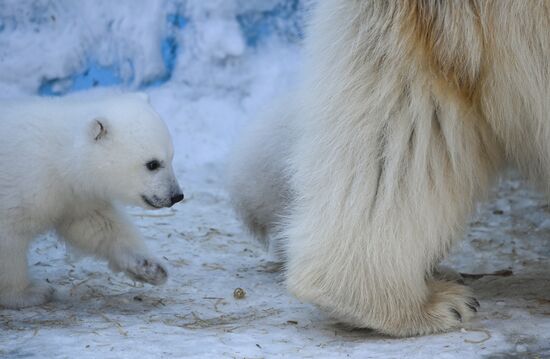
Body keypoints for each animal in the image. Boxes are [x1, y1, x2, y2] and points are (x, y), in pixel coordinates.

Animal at [0, 93, 185, 310]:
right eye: (152, 164)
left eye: (171, 157)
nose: (176, 196)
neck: (56, 155)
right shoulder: (24, 186)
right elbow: (9, 237)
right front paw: (29, 293)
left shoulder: (75, 195)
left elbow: (97, 225)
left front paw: (150, 268)